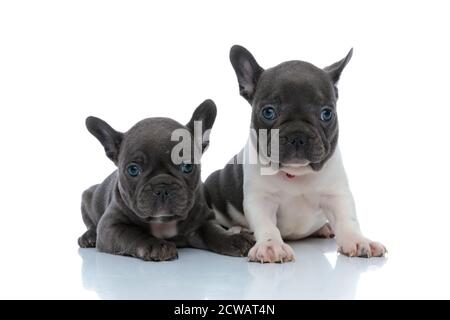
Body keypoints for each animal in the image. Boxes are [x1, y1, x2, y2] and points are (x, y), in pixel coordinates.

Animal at [78, 99, 255, 260]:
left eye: (187, 167)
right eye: (133, 170)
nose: (162, 187)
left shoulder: (203, 220)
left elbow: (214, 231)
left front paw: (233, 238)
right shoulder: (110, 226)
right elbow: (132, 233)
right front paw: (155, 245)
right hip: (87, 196)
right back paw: (88, 237)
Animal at [207, 46, 386, 264]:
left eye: (327, 113)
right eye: (268, 112)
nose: (298, 135)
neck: (296, 174)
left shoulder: (336, 195)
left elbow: (347, 218)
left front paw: (359, 240)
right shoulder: (260, 200)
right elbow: (266, 224)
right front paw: (271, 246)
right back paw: (238, 229)